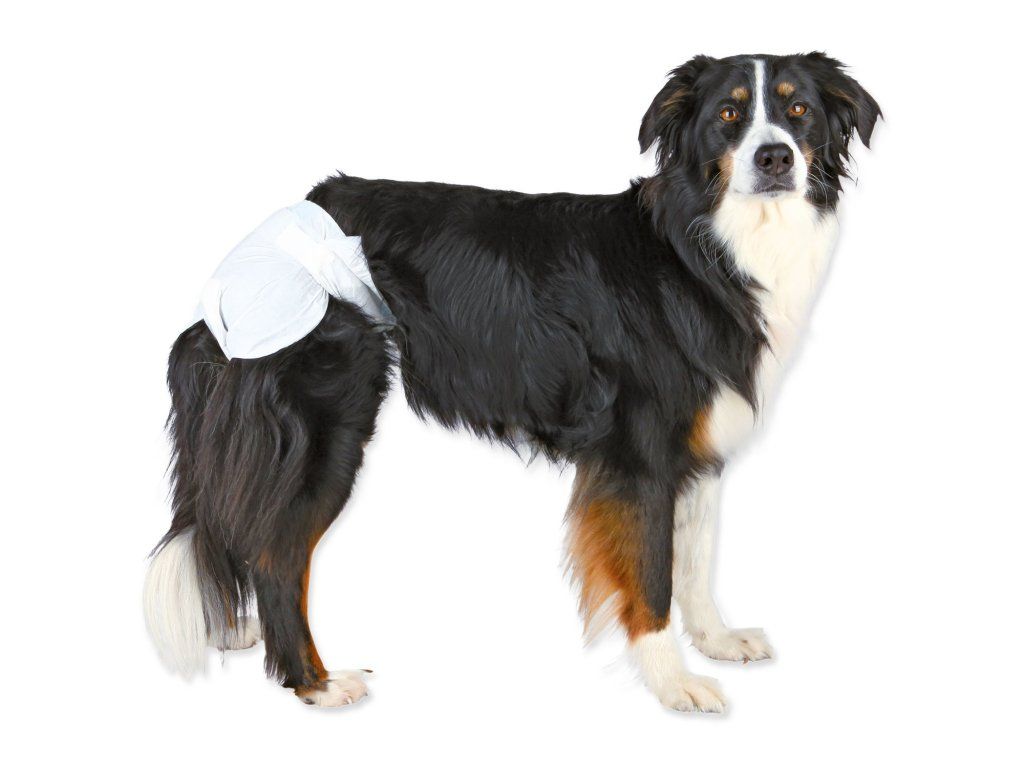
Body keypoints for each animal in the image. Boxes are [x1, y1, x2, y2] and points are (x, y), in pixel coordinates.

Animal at [144, 52, 879, 711]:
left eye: (797, 110)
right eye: (730, 115)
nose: (775, 157)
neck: (703, 246)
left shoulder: (698, 446)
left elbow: (694, 562)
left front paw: (717, 641)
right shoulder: (639, 457)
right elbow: (652, 577)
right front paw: (675, 683)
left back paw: (234, 632)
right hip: (328, 429)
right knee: (276, 555)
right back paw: (316, 683)